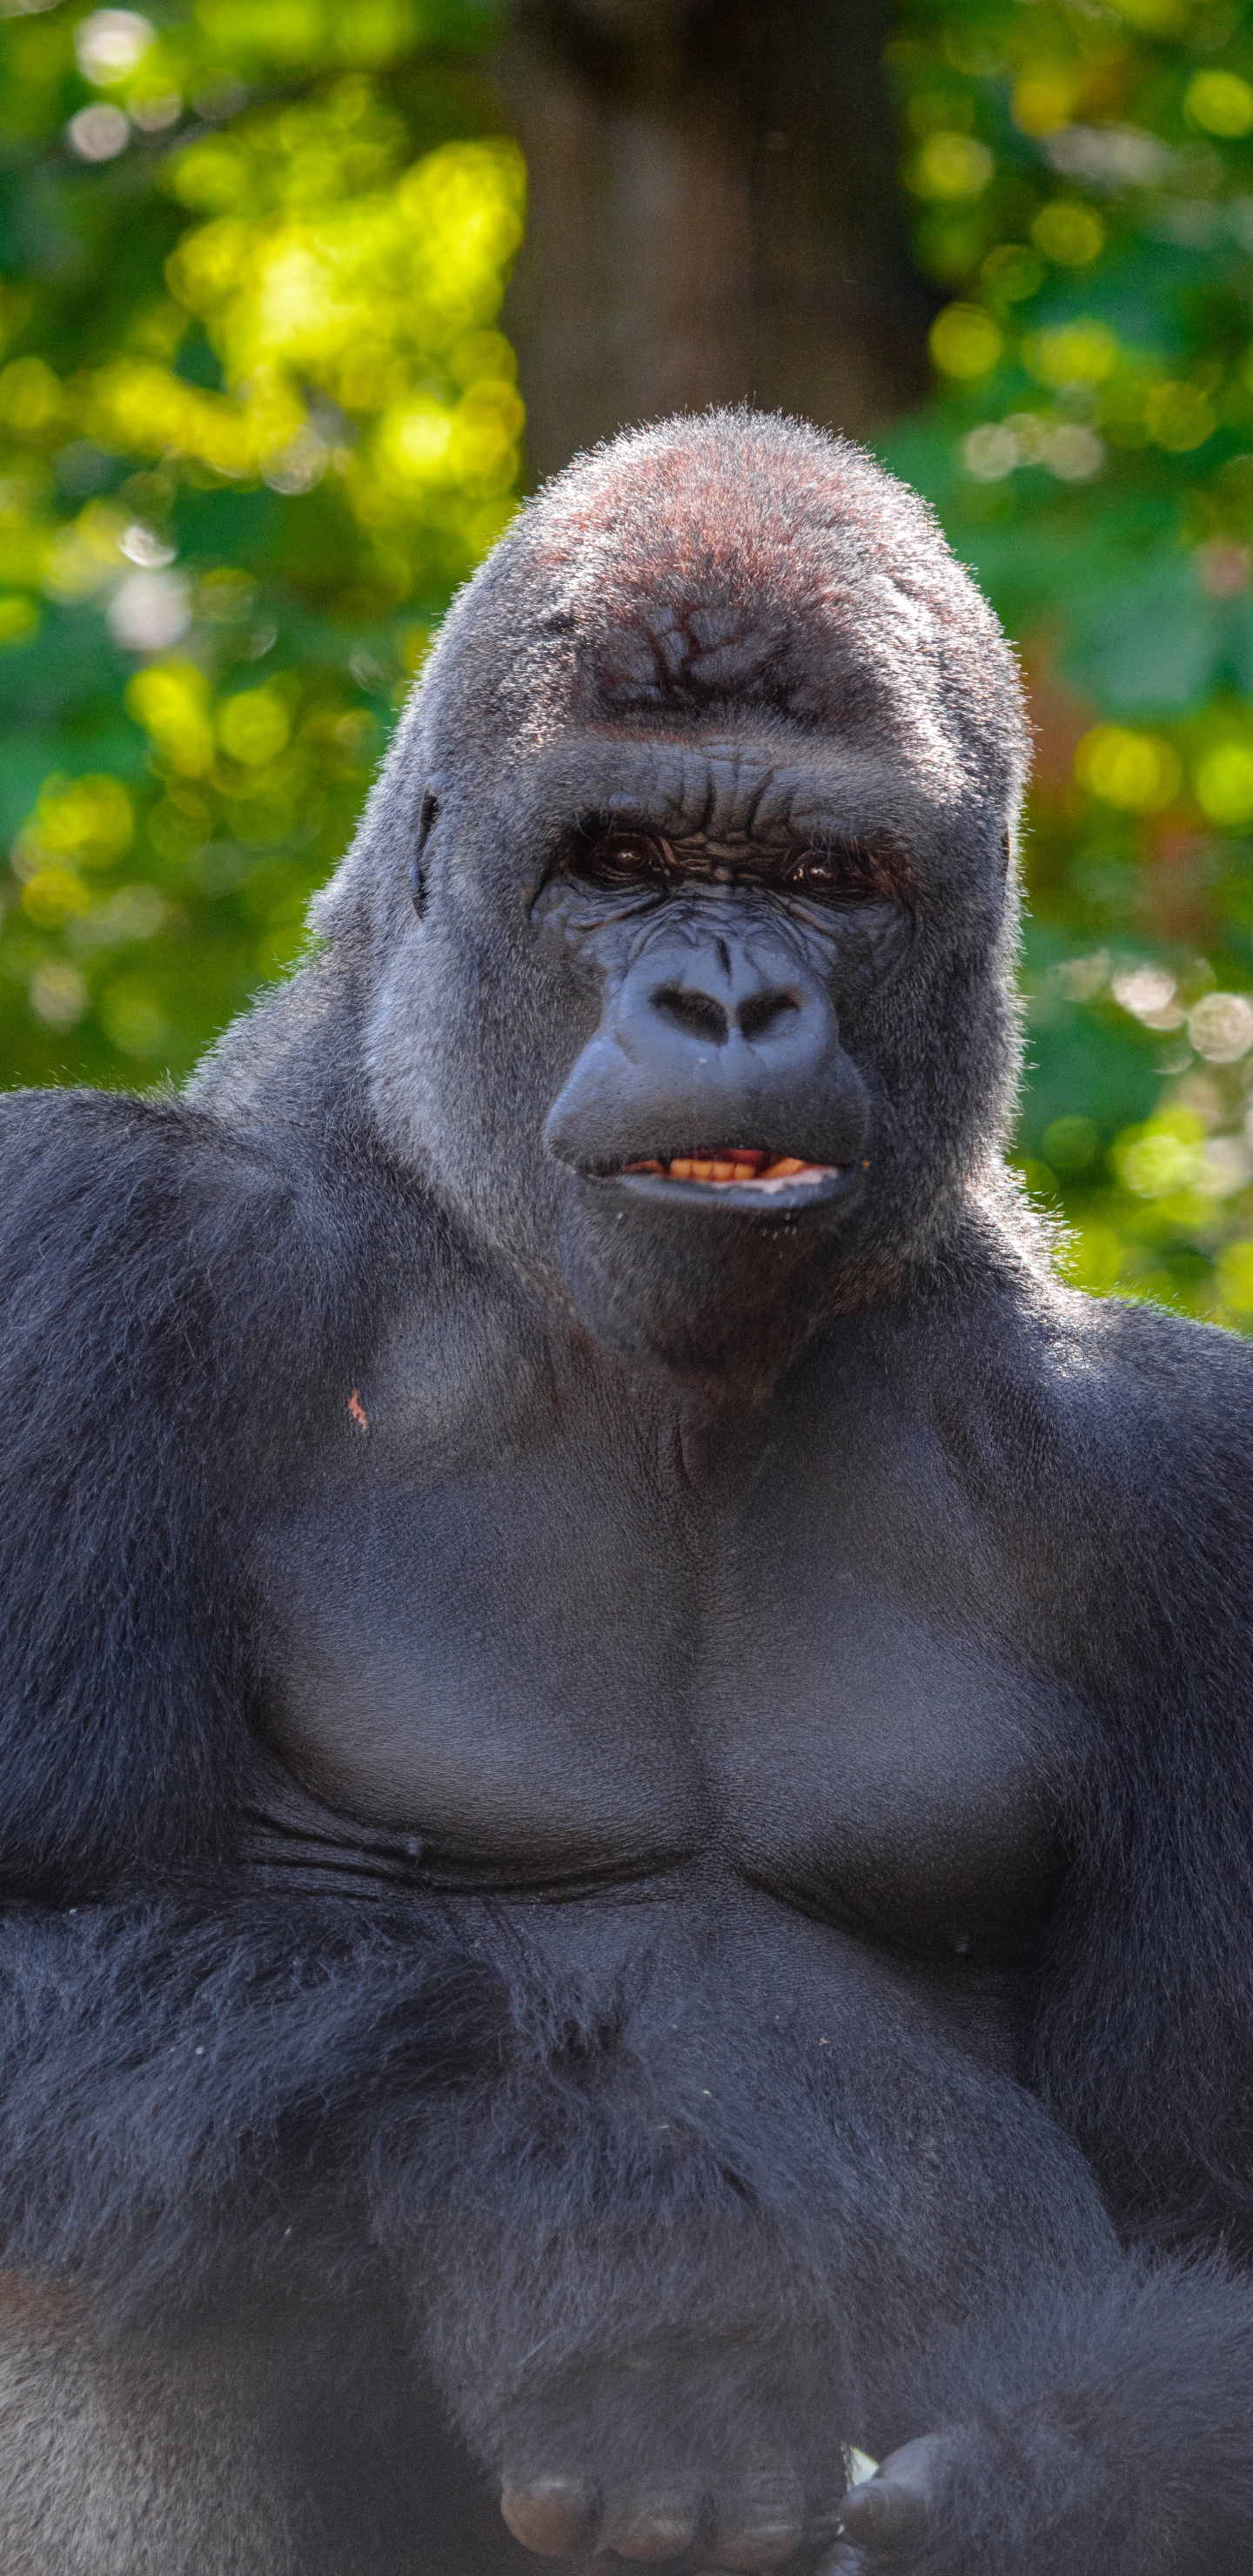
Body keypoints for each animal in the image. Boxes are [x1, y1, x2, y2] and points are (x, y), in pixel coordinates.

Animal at [1, 408, 1253, 2576]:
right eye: (626, 860)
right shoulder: (90, 1250)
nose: (729, 1008)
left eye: (827, 877)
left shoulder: (1182, 1474)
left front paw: (1069, 2487)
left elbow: (1205, 2213)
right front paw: (579, 2237)